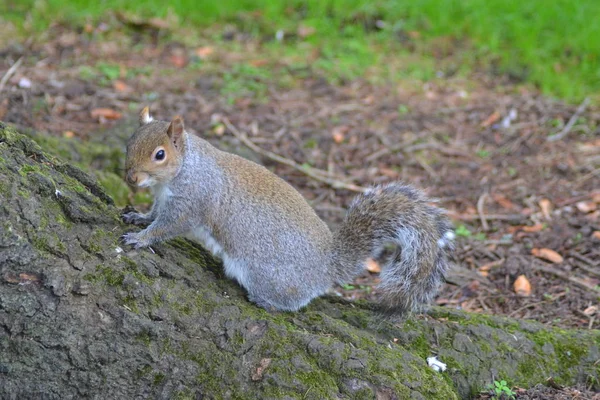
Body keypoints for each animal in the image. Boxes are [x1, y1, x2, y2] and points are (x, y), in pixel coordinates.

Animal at [122, 108, 454, 314]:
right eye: (128, 143)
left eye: (160, 155)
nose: (131, 178)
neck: (182, 170)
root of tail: (326, 265)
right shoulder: (163, 199)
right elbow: (154, 214)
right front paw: (138, 217)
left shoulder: (191, 201)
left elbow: (168, 226)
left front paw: (141, 239)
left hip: (266, 274)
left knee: (291, 302)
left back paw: (265, 302)